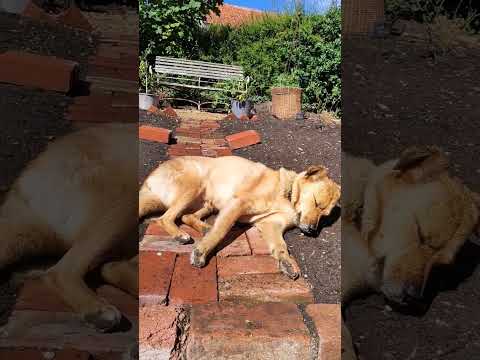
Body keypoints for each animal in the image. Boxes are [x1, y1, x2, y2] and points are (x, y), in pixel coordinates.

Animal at [139, 155, 342, 278]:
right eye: (317, 202)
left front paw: (286, 262)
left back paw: (204, 228)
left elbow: (281, 246)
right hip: (194, 186)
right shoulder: (238, 204)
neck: (286, 193)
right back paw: (181, 234)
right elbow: (221, 231)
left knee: (185, 217)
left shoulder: (271, 225)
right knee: (165, 218)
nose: (312, 231)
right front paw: (202, 252)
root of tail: (148, 181)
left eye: (324, 215)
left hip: (207, 203)